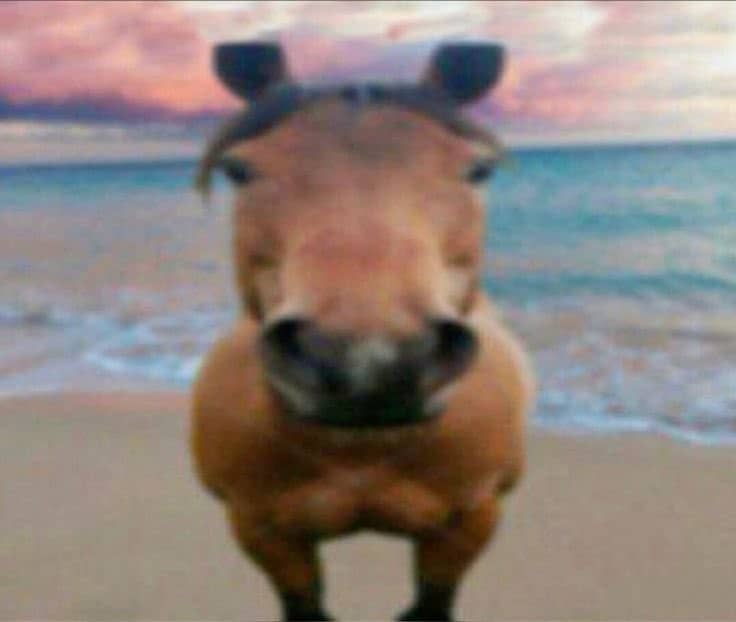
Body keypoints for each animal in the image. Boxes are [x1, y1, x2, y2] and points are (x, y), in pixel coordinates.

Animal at [190, 41, 534, 622]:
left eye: (479, 169)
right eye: (239, 169)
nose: (370, 361)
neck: (360, 450)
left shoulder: (470, 523)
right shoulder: (260, 531)